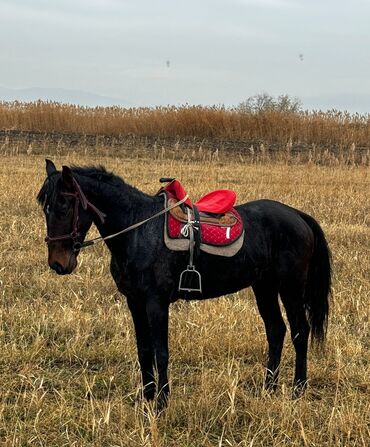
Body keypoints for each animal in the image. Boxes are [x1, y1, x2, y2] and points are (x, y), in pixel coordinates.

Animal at [37, 160, 330, 410]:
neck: (138, 230)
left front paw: (161, 403)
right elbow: (144, 351)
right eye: (45, 207)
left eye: (64, 205)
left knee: (299, 331)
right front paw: (146, 398)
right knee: (276, 330)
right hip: (264, 287)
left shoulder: (156, 302)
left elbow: (161, 352)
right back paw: (269, 388)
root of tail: (297, 215)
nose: (58, 264)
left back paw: (298, 389)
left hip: (291, 288)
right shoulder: (135, 301)